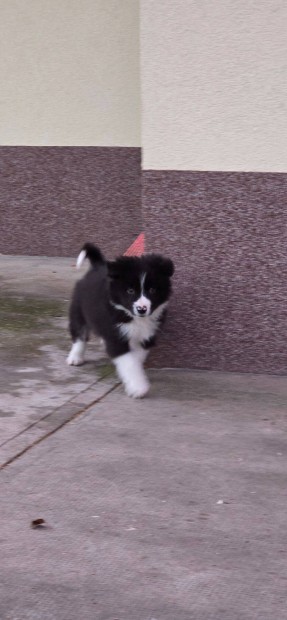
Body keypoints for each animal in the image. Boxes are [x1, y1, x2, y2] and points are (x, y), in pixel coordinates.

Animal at [67, 242, 176, 398]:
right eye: (130, 291)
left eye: (152, 290)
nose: (142, 309)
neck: (134, 318)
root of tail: (97, 266)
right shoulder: (116, 336)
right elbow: (129, 362)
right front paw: (138, 388)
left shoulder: (146, 337)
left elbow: (136, 359)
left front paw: (132, 379)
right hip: (78, 310)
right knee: (79, 334)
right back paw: (75, 357)